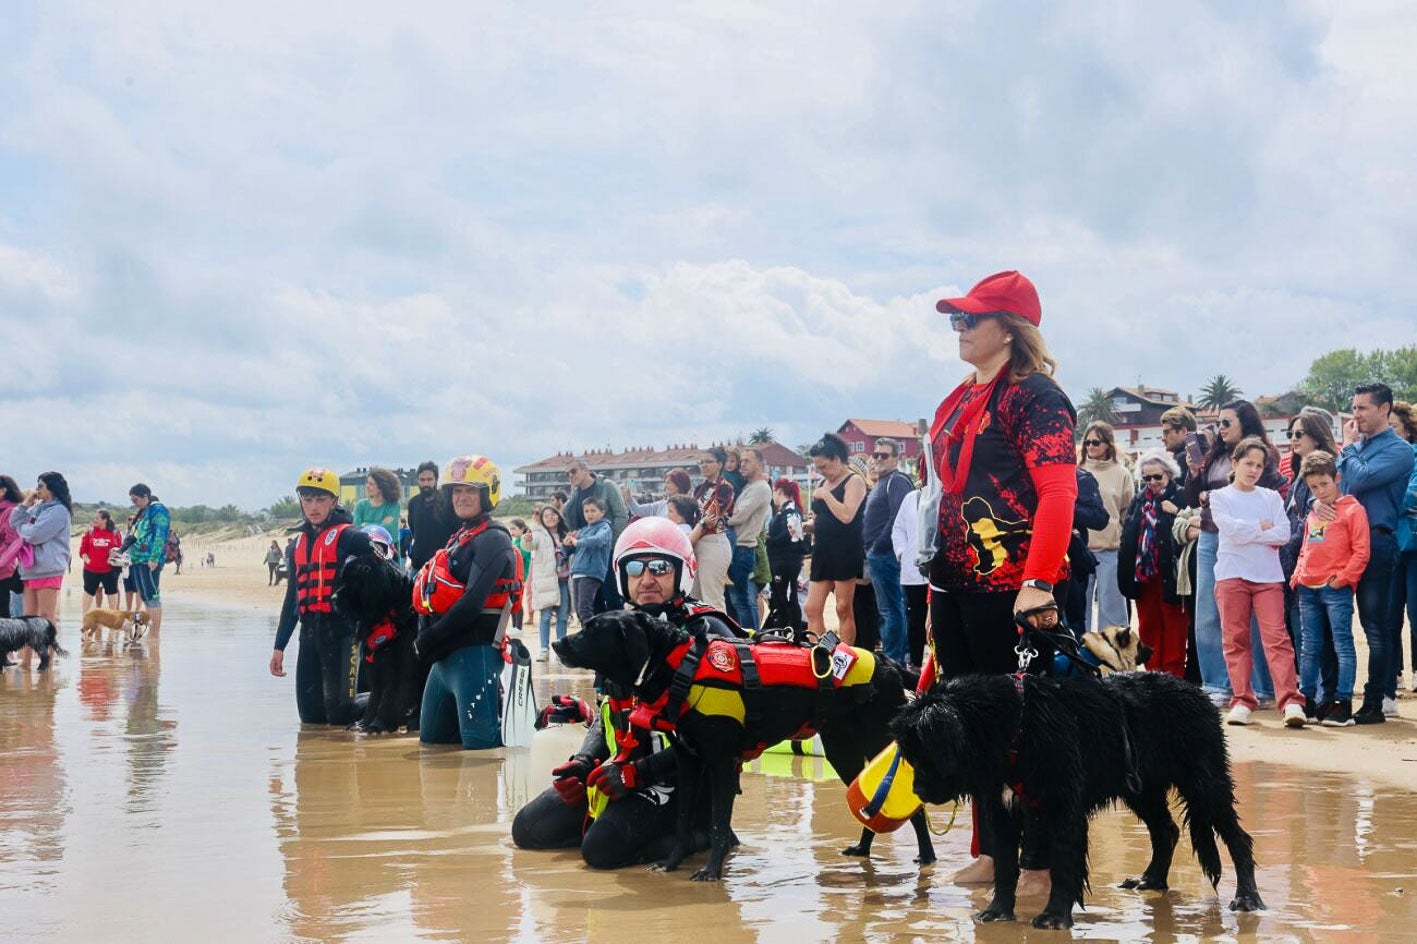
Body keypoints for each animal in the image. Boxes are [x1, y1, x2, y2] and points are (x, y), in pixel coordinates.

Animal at [332, 541, 425, 731]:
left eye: (352, 582)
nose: (333, 598)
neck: (388, 612)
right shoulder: (377, 664)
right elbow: (376, 695)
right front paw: (362, 724)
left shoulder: (399, 664)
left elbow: (391, 693)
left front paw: (378, 723)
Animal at [555, 606, 940, 878]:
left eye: (593, 629)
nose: (558, 642)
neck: (680, 666)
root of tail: (888, 662)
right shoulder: (689, 762)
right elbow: (682, 822)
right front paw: (672, 862)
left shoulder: (722, 763)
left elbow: (717, 823)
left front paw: (711, 870)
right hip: (842, 751)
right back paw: (863, 849)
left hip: (881, 746)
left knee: (911, 805)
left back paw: (927, 856)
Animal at [889, 669, 1269, 924]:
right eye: (911, 756)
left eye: (924, 754)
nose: (918, 790)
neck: (1018, 725)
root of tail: (1196, 692)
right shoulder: (1003, 808)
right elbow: (1005, 865)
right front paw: (997, 911)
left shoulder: (1062, 806)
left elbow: (1062, 861)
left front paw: (1055, 916)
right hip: (1141, 787)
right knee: (1166, 831)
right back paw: (1151, 879)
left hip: (1204, 782)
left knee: (1238, 838)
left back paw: (1247, 897)